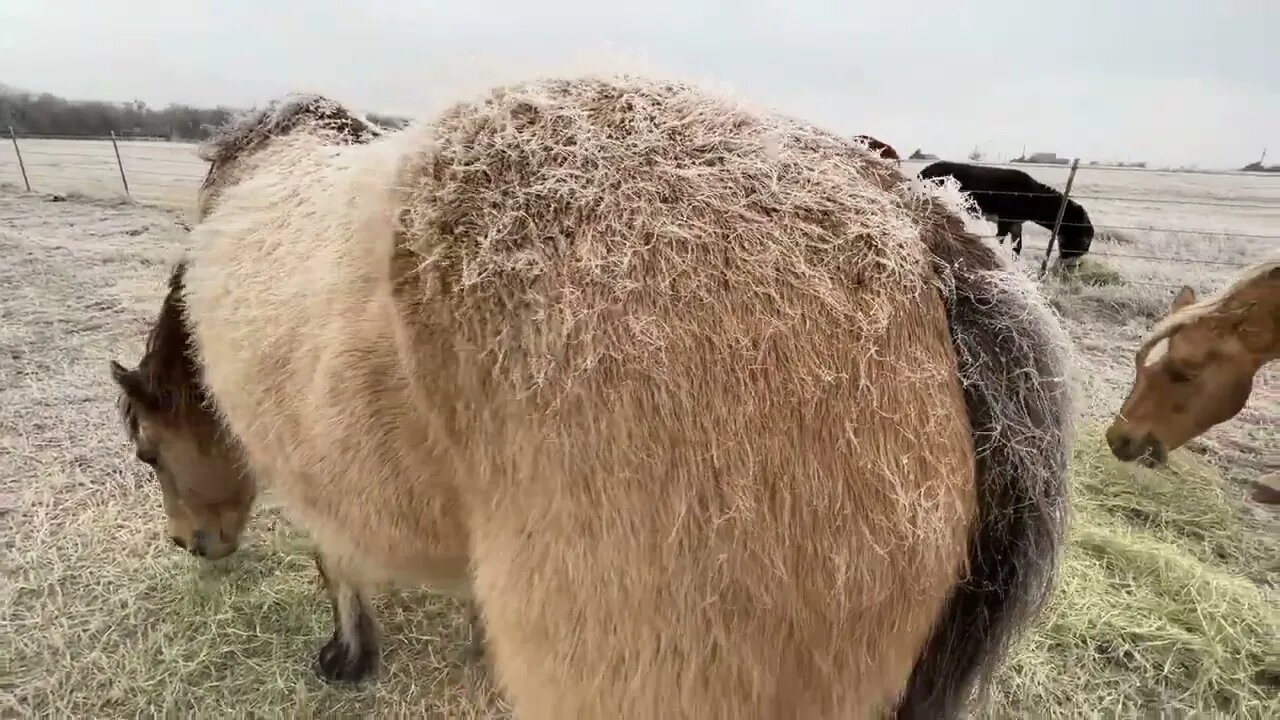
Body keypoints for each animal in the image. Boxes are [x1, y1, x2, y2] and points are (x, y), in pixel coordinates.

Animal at [110, 78, 1075, 717]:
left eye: (147, 450)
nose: (192, 545)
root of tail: (920, 236)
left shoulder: (307, 469)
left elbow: (336, 565)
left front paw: (348, 655)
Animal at [916, 158, 1095, 258]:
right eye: (1084, 239)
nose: (1070, 264)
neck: (1032, 196)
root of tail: (923, 171)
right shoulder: (1004, 220)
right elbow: (999, 241)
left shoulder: (1016, 223)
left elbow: (1017, 247)